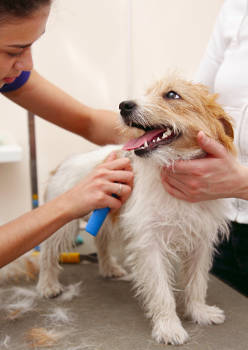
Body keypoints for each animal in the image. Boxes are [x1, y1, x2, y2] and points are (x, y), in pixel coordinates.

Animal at [36, 75, 234, 346]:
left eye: (172, 95)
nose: (124, 105)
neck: (170, 168)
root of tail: (64, 163)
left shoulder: (200, 242)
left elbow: (196, 283)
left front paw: (199, 312)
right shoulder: (150, 244)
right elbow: (161, 291)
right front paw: (169, 327)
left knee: (101, 242)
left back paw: (109, 268)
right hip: (63, 224)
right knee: (47, 253)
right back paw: (47, 285)